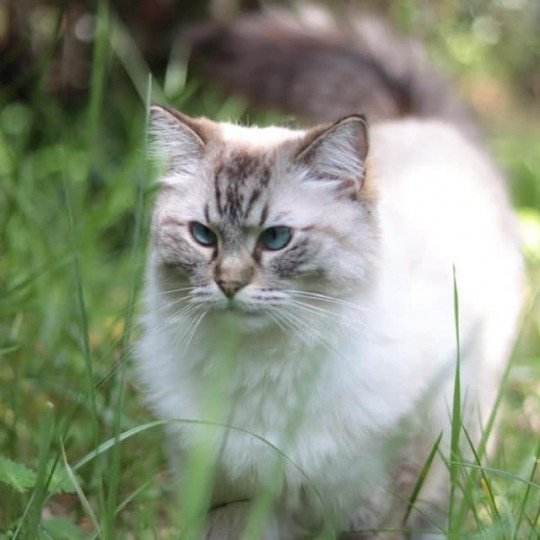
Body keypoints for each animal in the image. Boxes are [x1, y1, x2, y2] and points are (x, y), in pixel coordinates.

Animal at [136, 6, 528, 536]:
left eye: (275, 239)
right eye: (204, 236)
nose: (229, 284)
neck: (260, 367)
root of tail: (423, 123)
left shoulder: (377, 503)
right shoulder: (226, 496)